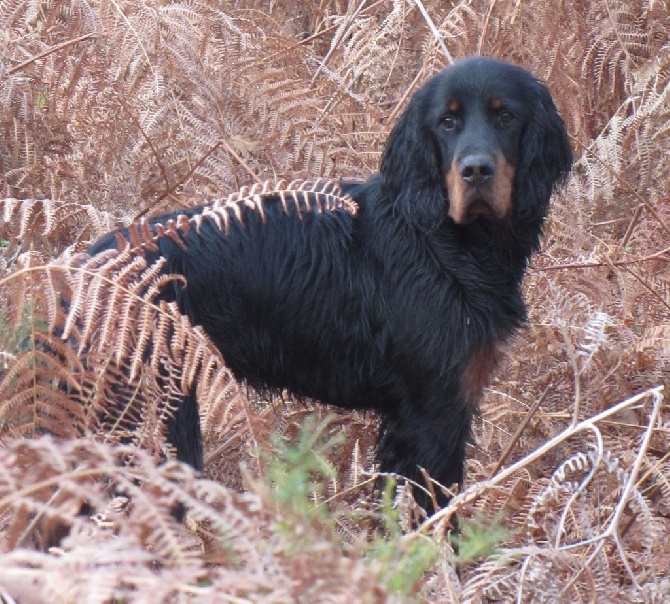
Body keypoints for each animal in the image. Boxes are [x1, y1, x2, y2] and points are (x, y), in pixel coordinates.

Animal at [88, 55, 572, 516]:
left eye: (505, 116)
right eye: (447, 122)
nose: (476, 171)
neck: (443, 240)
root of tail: (88, 262)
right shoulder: (431, 415)